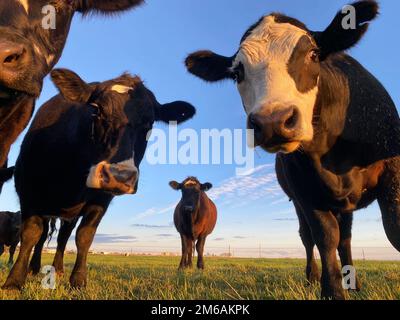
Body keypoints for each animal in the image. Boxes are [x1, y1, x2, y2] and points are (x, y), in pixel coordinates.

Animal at [2, 68, 196, 290]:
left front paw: (78, 280)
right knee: (42, 238)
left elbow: (84, 236)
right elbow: (31, 234)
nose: (119, 176)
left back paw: (58, 269)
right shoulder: (28, 192)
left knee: (63, 238)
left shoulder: (101, 200)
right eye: (97, 111)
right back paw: (34, 268)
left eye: (150, 122)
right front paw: (14, 281)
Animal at [185, 0, 400, 300]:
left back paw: (354, 283)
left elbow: (393, 229)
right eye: (237, 73)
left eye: (313, 54)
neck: (333, 152)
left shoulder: (393, 170)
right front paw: (331, 290)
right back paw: (313, 278)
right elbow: (324, 237)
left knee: (345, 238)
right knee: (314, 237)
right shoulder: (304, 190)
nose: (273, 121)